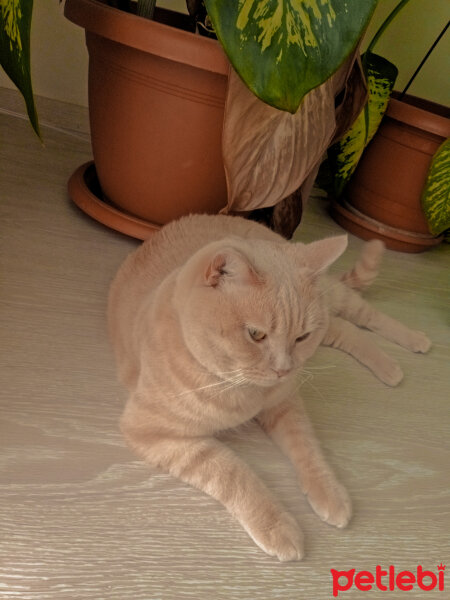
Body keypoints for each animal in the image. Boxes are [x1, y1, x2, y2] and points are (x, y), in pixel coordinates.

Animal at [107, 214, 430, 564]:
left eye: (302, 337)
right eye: (256, 334)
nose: (285, 369)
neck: (236, 389)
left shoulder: (287, 403)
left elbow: (308, 450)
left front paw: (330, 493)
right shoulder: (153, 433)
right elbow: (234, 474)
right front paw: (278, 526)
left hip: (334, 303)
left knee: (364, 316)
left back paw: (411, 344)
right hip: (330, 324)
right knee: (346, 330)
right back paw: (390, 364)